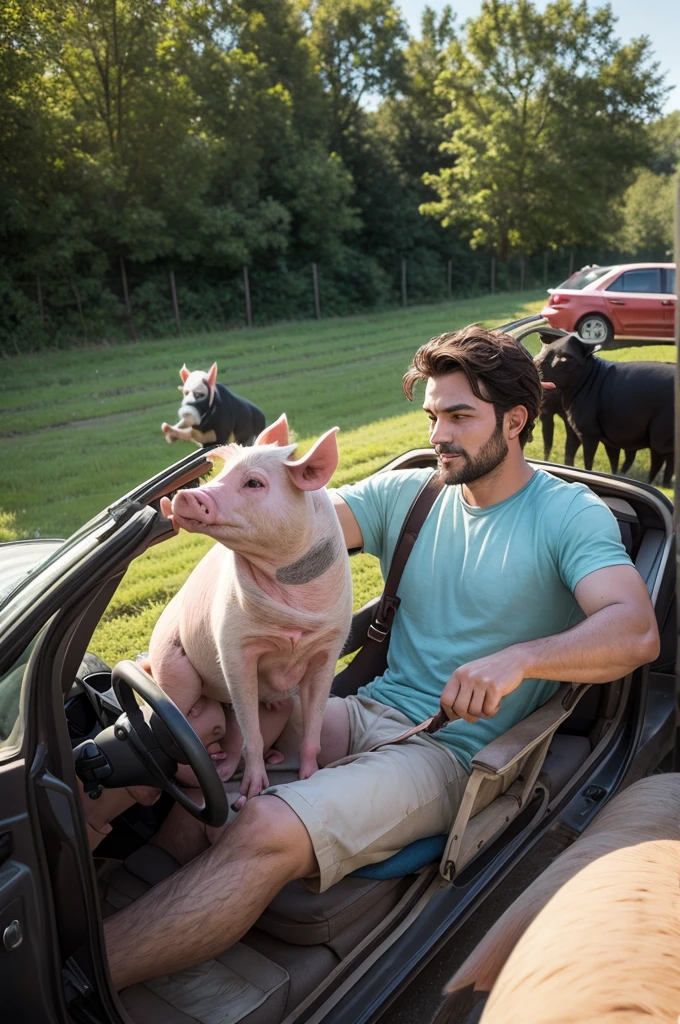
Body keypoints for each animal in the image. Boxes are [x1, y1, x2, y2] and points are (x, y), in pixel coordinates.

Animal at [148, 415, 350, 806]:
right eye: (223, 474)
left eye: (254, 482)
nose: (182, 495)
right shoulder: (233, 646)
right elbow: (249, 728)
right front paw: (252, 795)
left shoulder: (329, 647)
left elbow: (314, 721)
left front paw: (309, 776)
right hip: (172, 668)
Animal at [536, 331, 675, 483]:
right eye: (548, 351)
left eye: (567, 359)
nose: (538, 366)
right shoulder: (603, 438)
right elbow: (609, 461)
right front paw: (615, 476)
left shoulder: (588, 434)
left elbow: (587, 463)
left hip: (659, 438)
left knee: (662, 464)